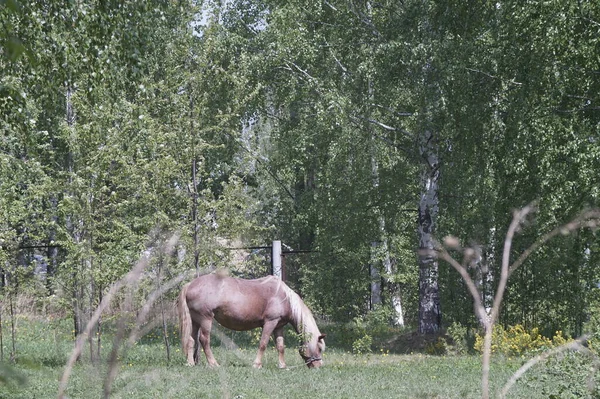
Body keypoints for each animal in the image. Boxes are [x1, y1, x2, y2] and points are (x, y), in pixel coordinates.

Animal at [178, 274, 326, 370]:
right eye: (319, 348)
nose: (318, 366)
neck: (284, 298)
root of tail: (190, 285)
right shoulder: (270, 323)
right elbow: (263, 344)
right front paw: (257, 365)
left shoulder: (278, 326)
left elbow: (280, 346)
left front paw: (282, 366)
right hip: (205, 319)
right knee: (204, 340)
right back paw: (213, 364)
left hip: (195, 320)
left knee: (191, 340)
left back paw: (190, 363)